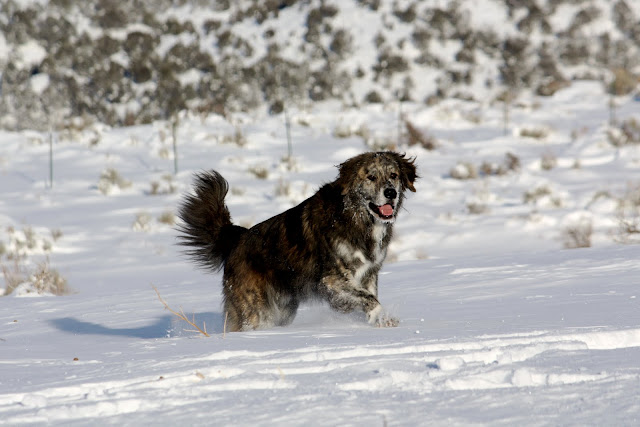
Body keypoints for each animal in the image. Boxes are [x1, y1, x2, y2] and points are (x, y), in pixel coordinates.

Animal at [177, 151, 417, 332]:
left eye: (394, 175)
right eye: (371, 177)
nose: (391, 193)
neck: (355, 217)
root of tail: (238, 238)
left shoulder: (368, 273)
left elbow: (367, 294)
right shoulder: (332, 280)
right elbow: (368, 297)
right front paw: (383, 316)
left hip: (283, 309)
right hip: (256, 310)